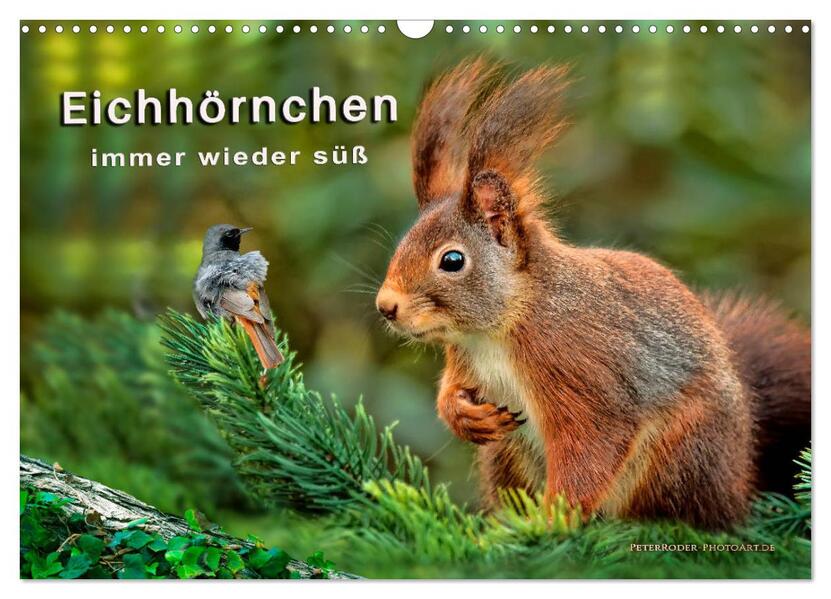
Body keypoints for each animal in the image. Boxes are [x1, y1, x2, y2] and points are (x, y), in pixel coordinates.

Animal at [375, 59, 811, 530]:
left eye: (452, 260)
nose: (386, 306)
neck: (497, 330)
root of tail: (737, 481)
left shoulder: (578, 366)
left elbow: (591, 446)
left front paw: (551, 521)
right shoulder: (465, 358)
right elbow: (451, 391)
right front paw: (463, 415)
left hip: (678, 453)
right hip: (506, 456)